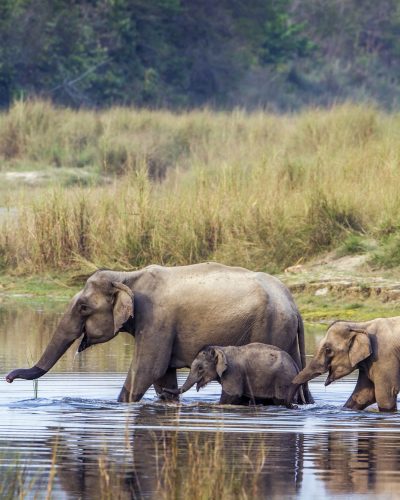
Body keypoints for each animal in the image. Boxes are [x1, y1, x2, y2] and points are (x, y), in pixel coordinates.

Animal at [165, 344, 304, 406]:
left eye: (200, 368)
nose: (163, 391)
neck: (221, 349)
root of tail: (295, 364)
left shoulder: (233, 372)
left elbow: (233, 395)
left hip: (284, 380)